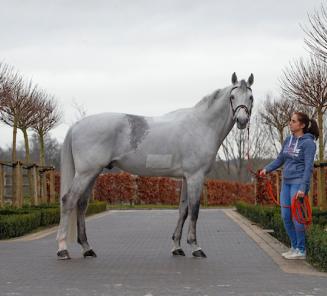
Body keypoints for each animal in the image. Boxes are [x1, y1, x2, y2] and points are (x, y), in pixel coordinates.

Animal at [57, 73, 255, 260]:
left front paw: (177, 247)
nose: (242, 120)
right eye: (232, 96)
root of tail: (77, 125)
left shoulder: (186, 177)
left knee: (81, 204)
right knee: (69, 201)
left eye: (251, 97)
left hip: (92, 173)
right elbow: (194, 210)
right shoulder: (195, 176)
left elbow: (183, 210)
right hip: (85, 173)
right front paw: (195, 247)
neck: (201, 125)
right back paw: (63, 250)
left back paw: (87, 249)